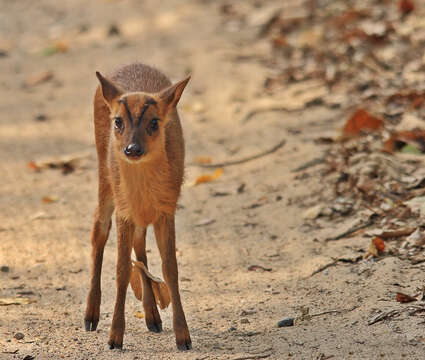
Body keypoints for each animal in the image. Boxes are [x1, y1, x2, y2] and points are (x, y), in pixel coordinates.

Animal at [84, 63, 190, 350]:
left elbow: (170, 268)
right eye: (118, 121)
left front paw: (183, 337)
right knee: (98, 229)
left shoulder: (167, 209)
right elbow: (121, 270)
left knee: (140, 244)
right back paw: (90, 316)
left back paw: (153, 317)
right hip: (105, 177)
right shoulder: (124, 210)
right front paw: (114, 338)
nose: (132, 149)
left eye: (154, 122)